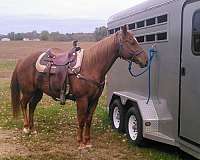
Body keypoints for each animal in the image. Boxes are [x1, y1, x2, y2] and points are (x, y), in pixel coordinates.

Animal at [10, 25, 148, 149]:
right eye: (131, 42)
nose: (145, 60)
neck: (91, 66)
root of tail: (22, 60)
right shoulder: (82, 99)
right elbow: (81, 119)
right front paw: (80, 142)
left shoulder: (94, 100)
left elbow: (88, 120)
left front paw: (88, 141)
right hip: (28, 91)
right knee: (23, 104)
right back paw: (26, 128)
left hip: (38, 92)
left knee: (32, 106)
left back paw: (32, 129)